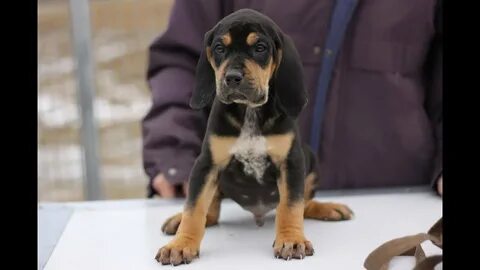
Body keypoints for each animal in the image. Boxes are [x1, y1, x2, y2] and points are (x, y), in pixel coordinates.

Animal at [156, 8, 354, 266]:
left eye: (260, 47)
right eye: (219, 48)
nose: (232, 77)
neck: (249, 110)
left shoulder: (291, 163)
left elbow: (291, 206)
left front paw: (291, 239)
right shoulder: (206, 164)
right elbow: (194, 207)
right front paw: (181, 244)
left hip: (309, 159)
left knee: (305, 204)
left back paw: (327, 208)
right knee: (211, 212)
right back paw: (179, 220)